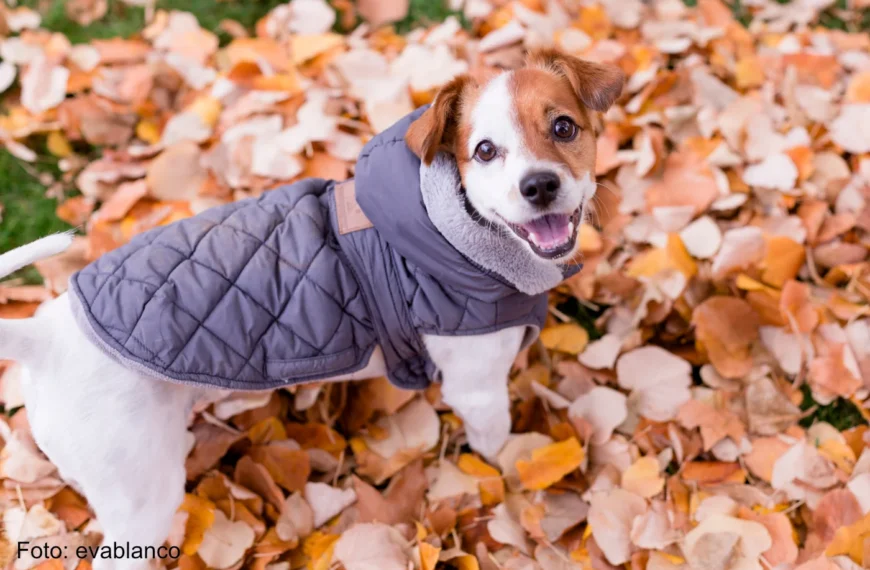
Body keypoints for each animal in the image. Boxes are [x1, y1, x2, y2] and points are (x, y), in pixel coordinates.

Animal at [1, 50, 628, 568]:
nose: (539, 186)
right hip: (140, 499)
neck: (448, 230)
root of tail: (41, 336)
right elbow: (496, 449)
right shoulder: (477, 391)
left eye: (563, 127)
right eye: (485, 151)